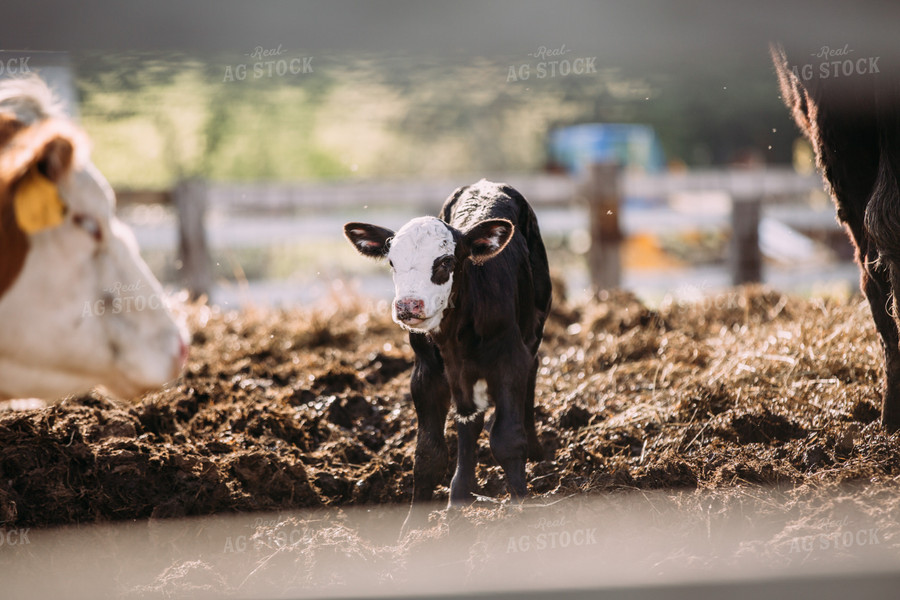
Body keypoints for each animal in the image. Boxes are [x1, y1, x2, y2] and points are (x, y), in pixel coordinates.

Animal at [344, 180, 552, 508]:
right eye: (392, 262)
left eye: (446, 261)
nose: (408, 305)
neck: (454, 334)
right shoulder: (427, 372)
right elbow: (428, 453)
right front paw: (415, 520)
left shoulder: (509, 360)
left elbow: (506, 440)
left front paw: (521, 503)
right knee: (470, 420)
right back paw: (460, 494)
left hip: (535, 324)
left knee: (532, 370)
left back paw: (534, 449)